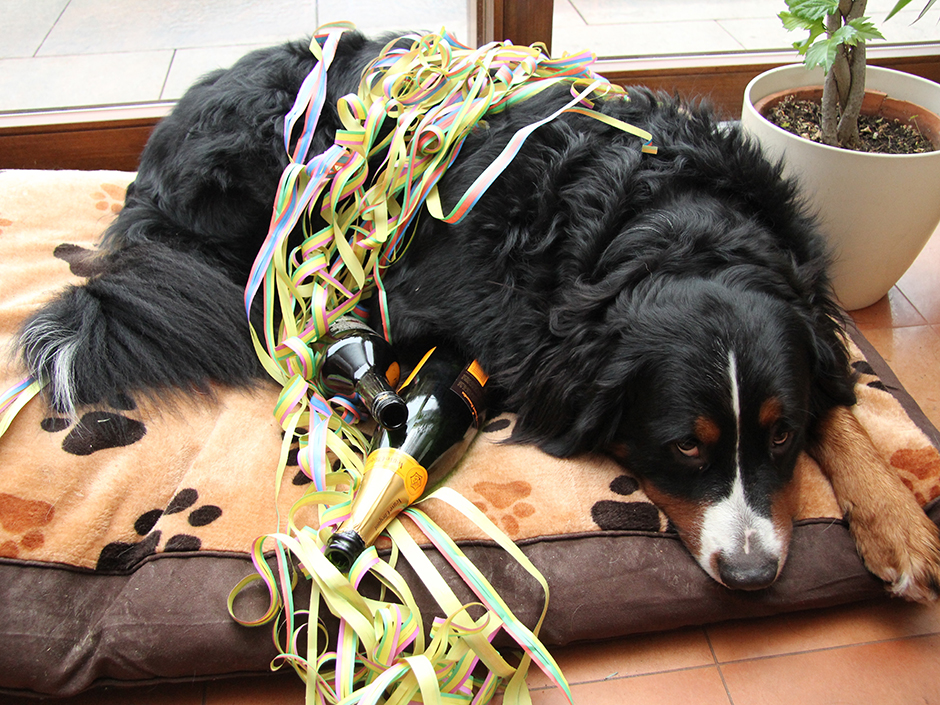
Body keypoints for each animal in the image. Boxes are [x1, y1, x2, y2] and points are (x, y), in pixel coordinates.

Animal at [18, 30, 940, 596]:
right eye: (684, 446)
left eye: (780, 437)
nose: (751, 574)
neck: (669, 218)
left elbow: (845, 410)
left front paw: (898, 524)